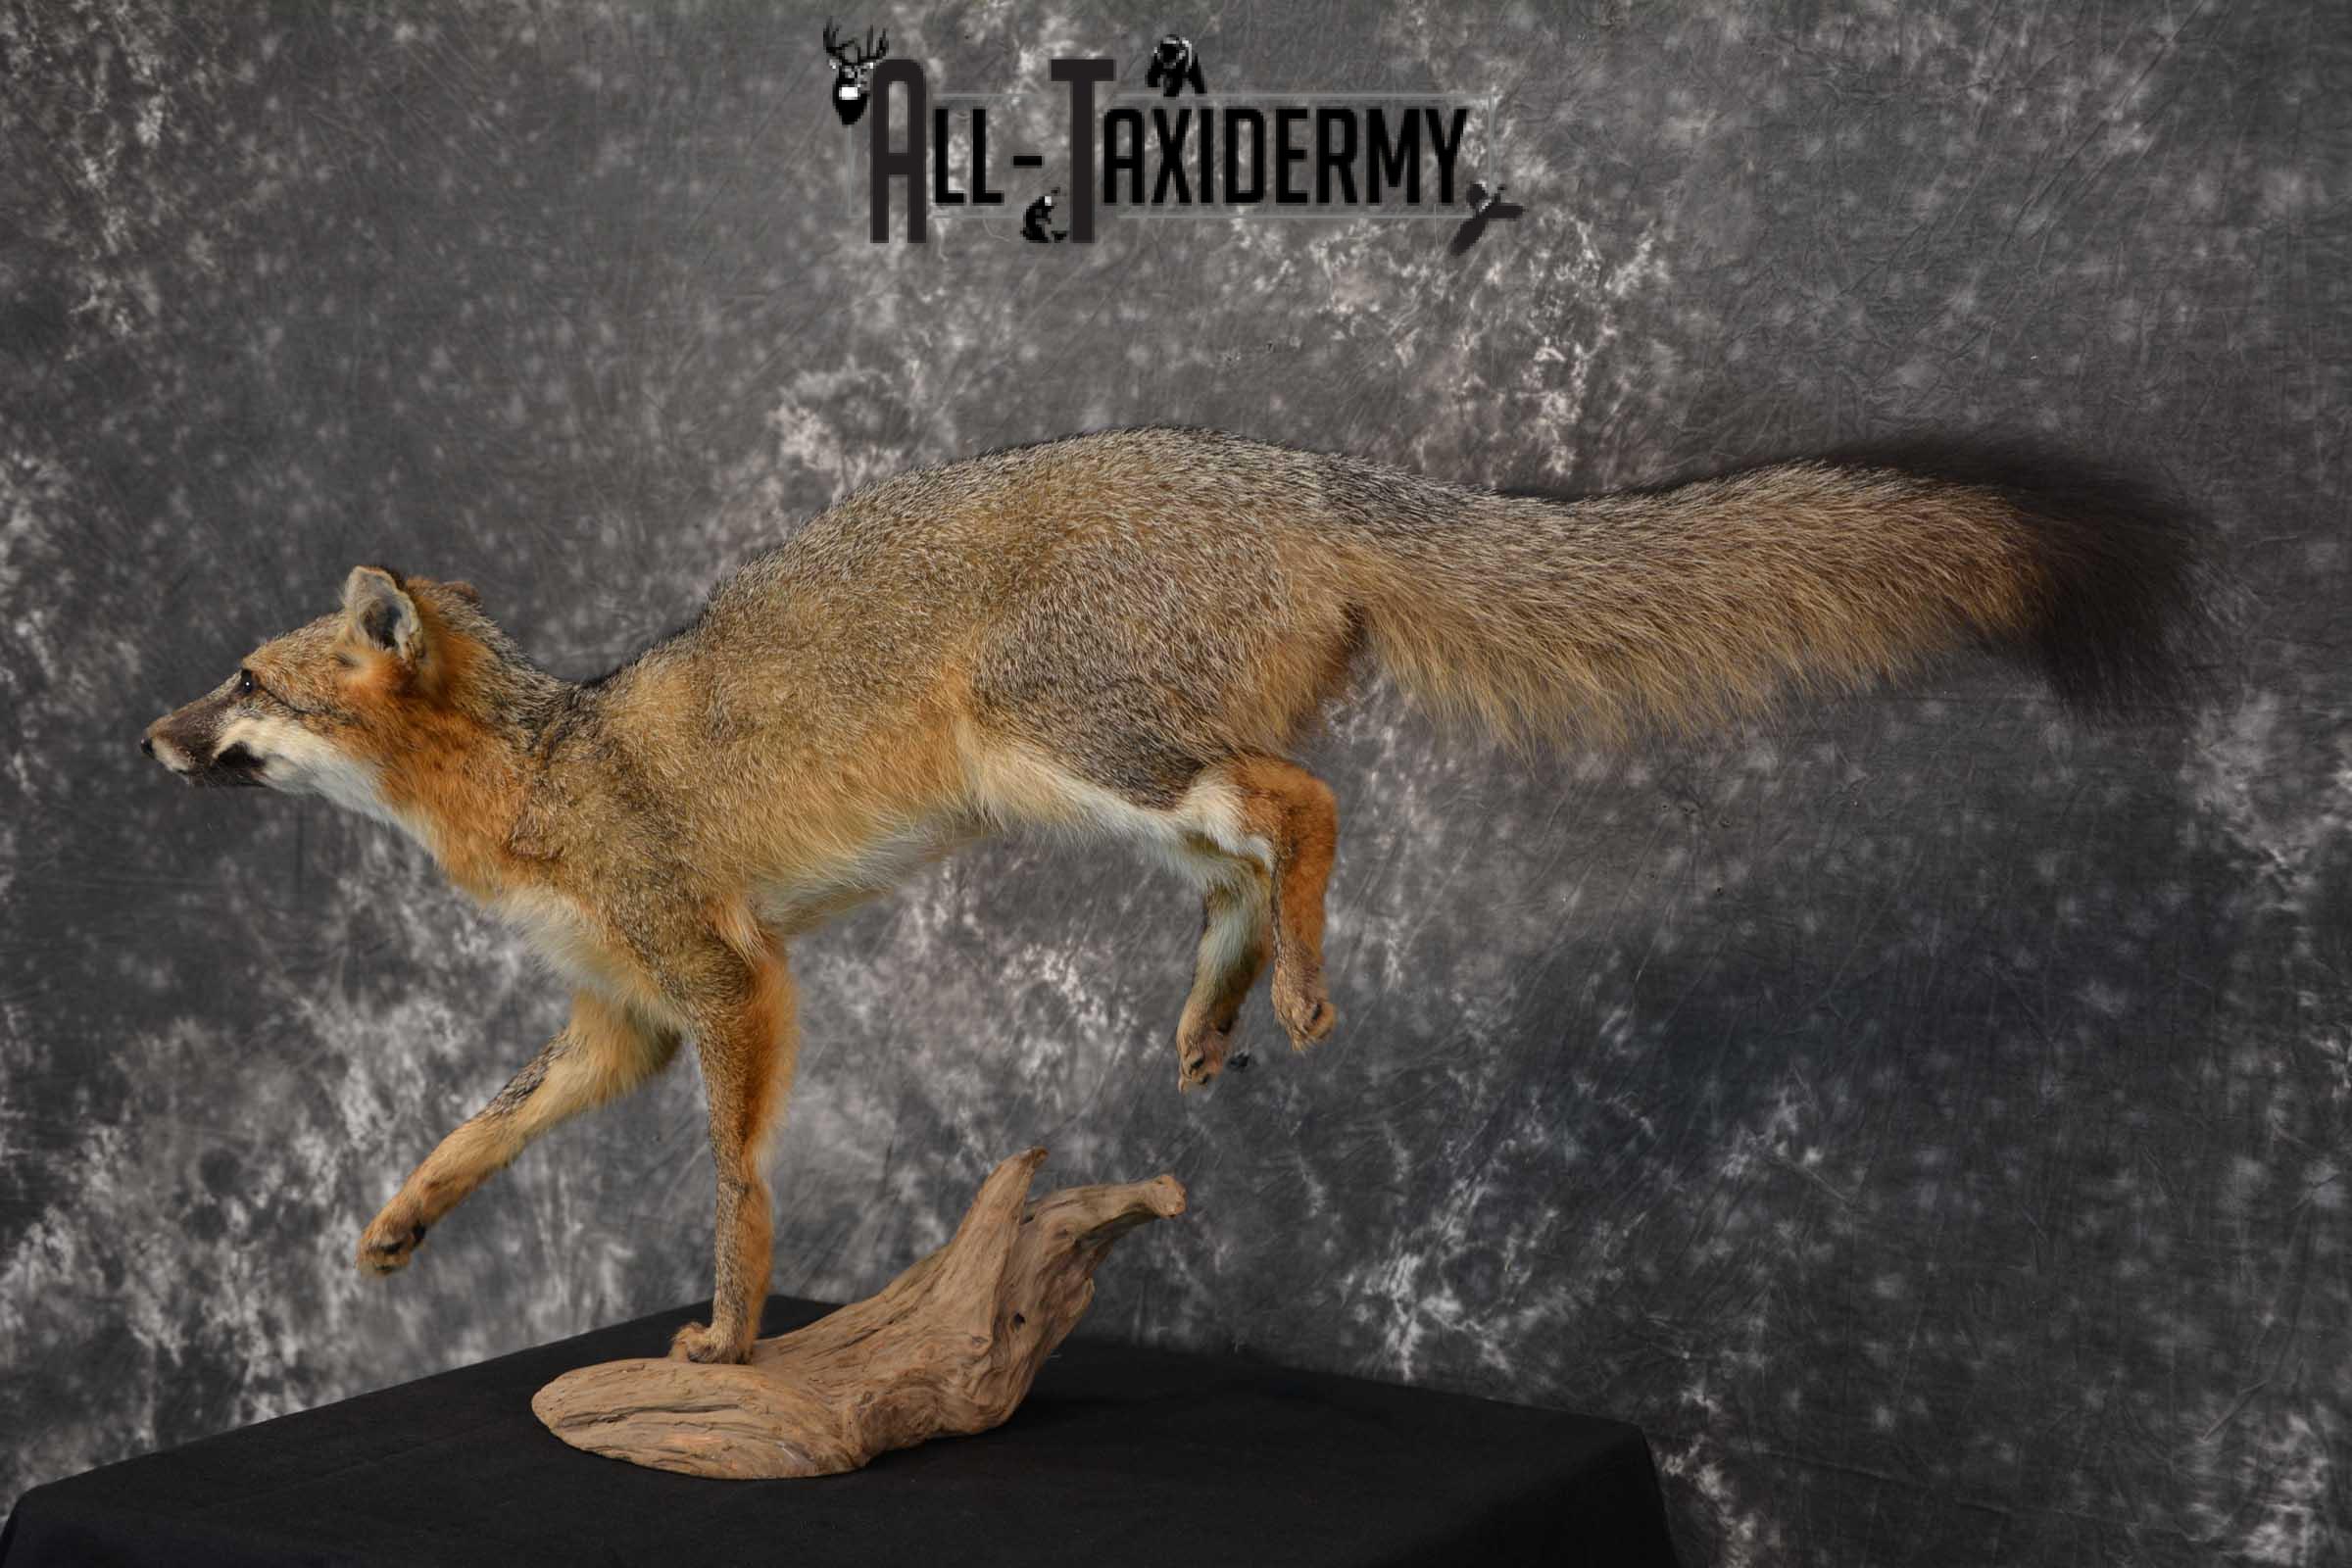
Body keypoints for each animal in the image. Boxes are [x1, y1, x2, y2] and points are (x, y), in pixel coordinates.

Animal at [141, 426, 2195, 1366]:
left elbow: (733, 1188)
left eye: (240, 682)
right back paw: (1221, 1010)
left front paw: (728, 1346)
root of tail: (1293, 473)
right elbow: (481, 1125)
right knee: (1248, 852)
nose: (147, 736)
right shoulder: (624, 1022)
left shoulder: (727, 982)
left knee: (1307, 798)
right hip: (1089, 784)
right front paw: (402, 1229)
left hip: (1064, 734)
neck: (535, 770)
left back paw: (1292, 992)